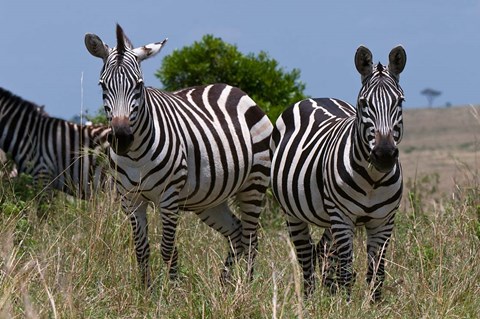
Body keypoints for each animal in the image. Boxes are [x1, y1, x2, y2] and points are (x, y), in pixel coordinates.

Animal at [84, 23, 272, 286]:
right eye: (102, 85)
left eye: (139, 85)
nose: (122, 138)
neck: (136, 156)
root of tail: (234, 89)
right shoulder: (130, 199)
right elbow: (141, 250)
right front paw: (146, 291)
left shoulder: (169, 197)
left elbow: (168, 249)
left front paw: (172, 291)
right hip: (210, 198)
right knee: (236, 233)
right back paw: (226, 286)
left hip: (255, 183)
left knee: (251, 238)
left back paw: (246, 286)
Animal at [270, 45, 404, 302]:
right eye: (364, 102)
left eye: (400, 101)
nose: (384, 155)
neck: (373, 181)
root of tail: (316, 98)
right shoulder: (342, 218)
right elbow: (346, 270)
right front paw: (347, 305)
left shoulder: (384, 221)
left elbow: (377, 274)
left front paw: (373, 305)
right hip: (293, 212)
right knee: (306, 256)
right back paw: (310, 300)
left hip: (329, 218)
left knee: (322, 252)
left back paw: (329, 295)